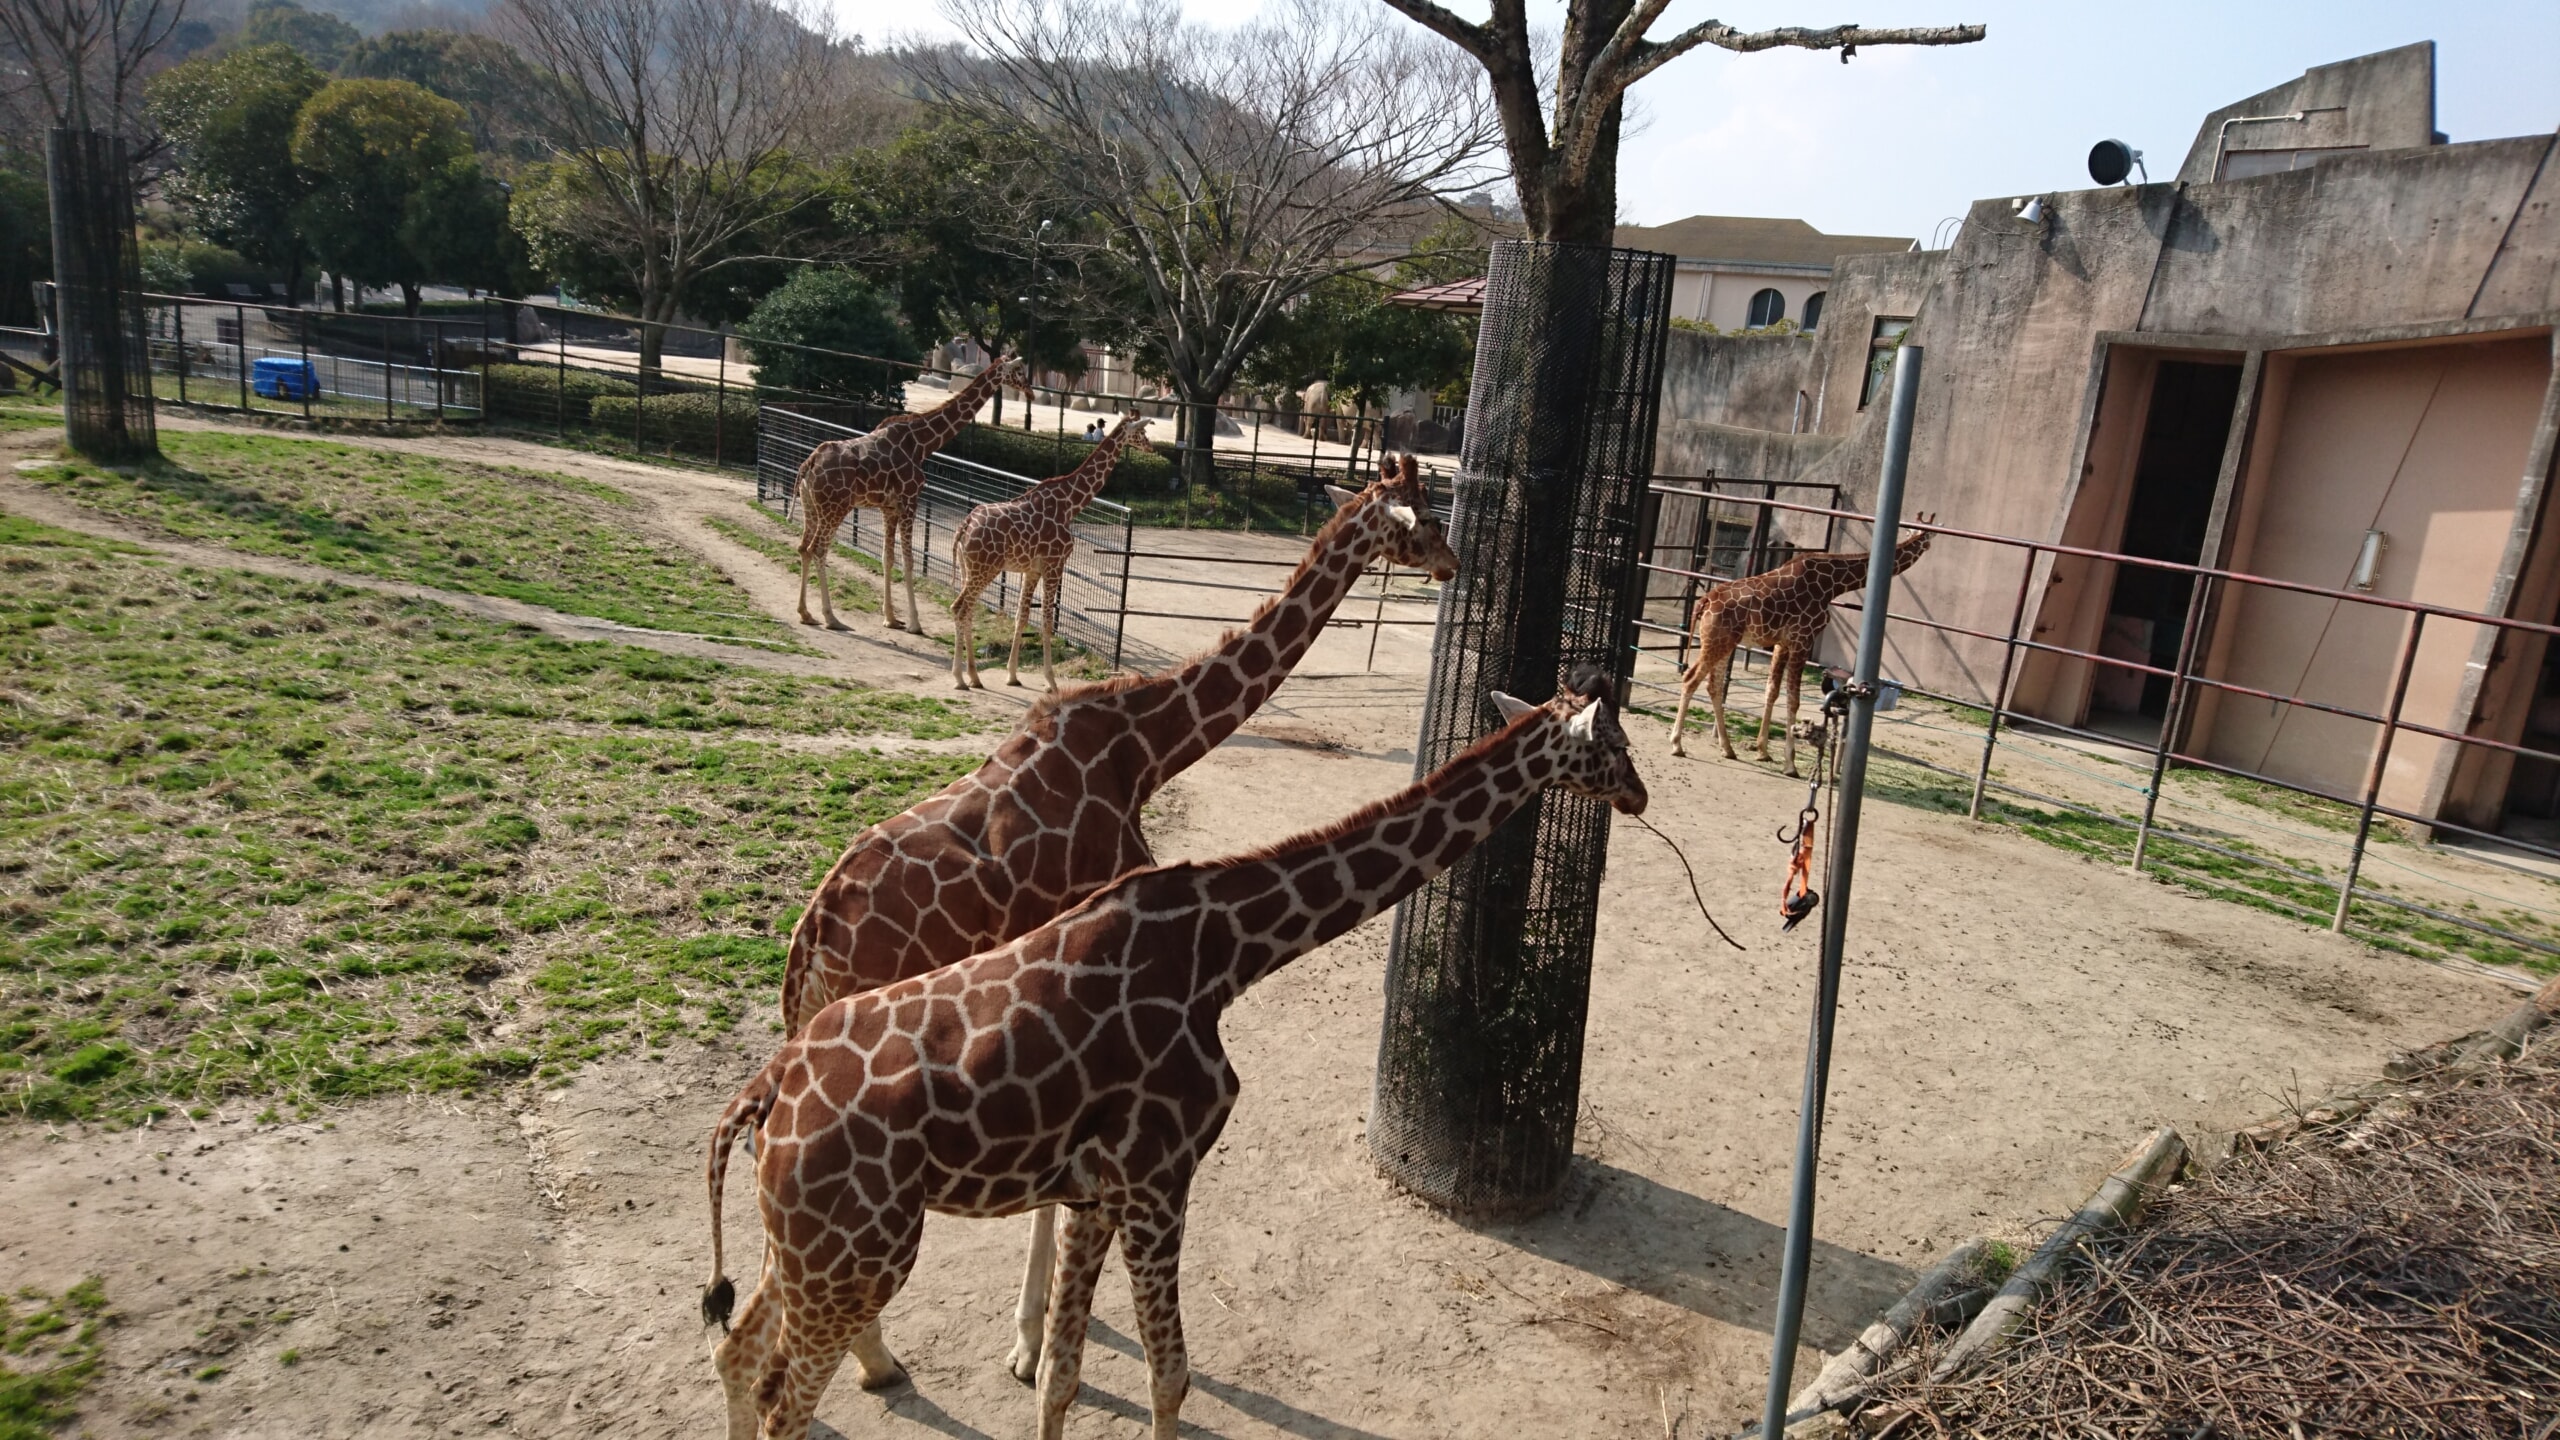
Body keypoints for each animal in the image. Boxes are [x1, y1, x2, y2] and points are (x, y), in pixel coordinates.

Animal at [711, 671, 1648, 1434]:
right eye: (1614, 745)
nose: (1640, 795)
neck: (1225, 952)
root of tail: (762, 1094)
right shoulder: (1160, 1177)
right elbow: (1172, 1377)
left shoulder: (1095, 1189)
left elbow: (1061, 1378)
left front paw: (1039, 1363)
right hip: (859, 1254)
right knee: (782, 1402)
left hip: (811, 1251)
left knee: (738, 1350)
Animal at [757, 445, 1454, 1383]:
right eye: (1430, 519)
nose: (1456, 565)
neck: (1148, 746)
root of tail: (809, 946)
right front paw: (1029, 1344)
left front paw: (1035, 1334)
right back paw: (877, 1358)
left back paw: (869, 1353)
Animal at [788, 356, 1029, 630]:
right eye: (1019, 371)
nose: (1030, 391)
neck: (922, 443)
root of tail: (809, 464)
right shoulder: (910, 499)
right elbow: (910, 560)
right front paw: (915, 623)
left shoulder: (889, 508)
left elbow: (888, 557)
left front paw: (891, 618)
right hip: (835, 508)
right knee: (818, 549)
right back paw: (831, 617)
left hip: (811, 506)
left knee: (803, 547)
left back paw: (806, 613)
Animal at [952, 409, 1152, 691]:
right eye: (1142, 431)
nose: (1152, 447)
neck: (1070, 504)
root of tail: (965, 526)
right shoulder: (1055, 563)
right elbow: (1047, 621)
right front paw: (1051, 682)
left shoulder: (1033, 569)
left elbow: (1022, 616)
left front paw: (1012, 675)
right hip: (984, 568)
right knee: (959, 608)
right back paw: (959, 678)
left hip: (968, 568)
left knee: (967, 611)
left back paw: (974, 676)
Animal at [1669, 515, 1925, 773]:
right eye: (1925, 535)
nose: (1924, 541)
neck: (1834, 583)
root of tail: (1704, 601)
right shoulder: (1803, 638)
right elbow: (1793, 699)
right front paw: (1790, 764)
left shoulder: (1782, 643)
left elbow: (1772, 691)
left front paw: (1763, 751)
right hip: (1717, 641)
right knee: (1691, 678)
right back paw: (1677, 745)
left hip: (1724, 641)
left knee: (1714, 686)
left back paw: (1728, 749)